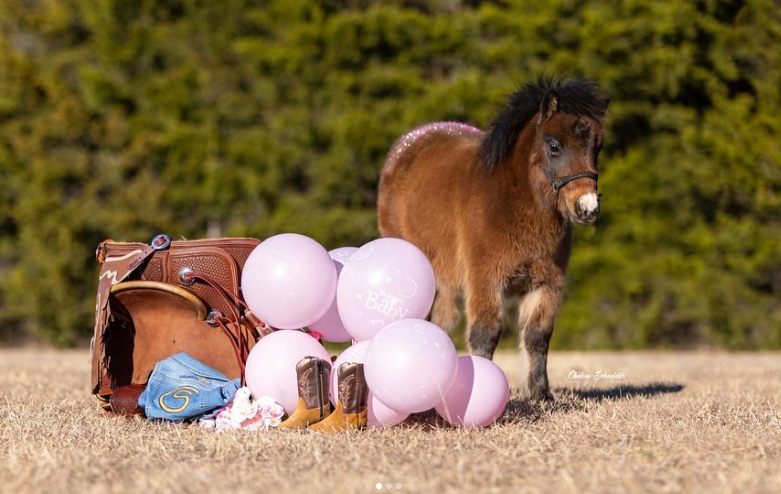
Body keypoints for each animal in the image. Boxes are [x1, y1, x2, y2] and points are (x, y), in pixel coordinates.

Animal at [378, 77, 608, 402]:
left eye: (598, 147)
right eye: (554, 145)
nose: (587, 208)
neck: (512, 202)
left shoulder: (546, 283)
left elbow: (537, 335)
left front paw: (541, 394)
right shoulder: (484, 278)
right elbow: (485, 333)